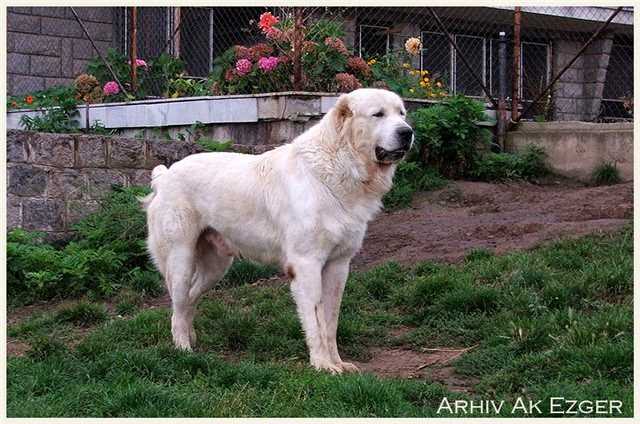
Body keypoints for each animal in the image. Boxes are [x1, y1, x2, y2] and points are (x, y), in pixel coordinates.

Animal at [142, 88, 412, 372]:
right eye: (378, 114)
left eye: (401, 114)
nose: (407, 132)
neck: (340, 166)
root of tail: (165, 174)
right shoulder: (306, 265)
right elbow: (315, 321)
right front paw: (323, 366)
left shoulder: (339, 265)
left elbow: (330, 322)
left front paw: (338, 363)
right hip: (180, 260)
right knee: (178, 304)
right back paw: (183, 350)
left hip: (216, 267)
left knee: (188, 301)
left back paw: (191, 341)